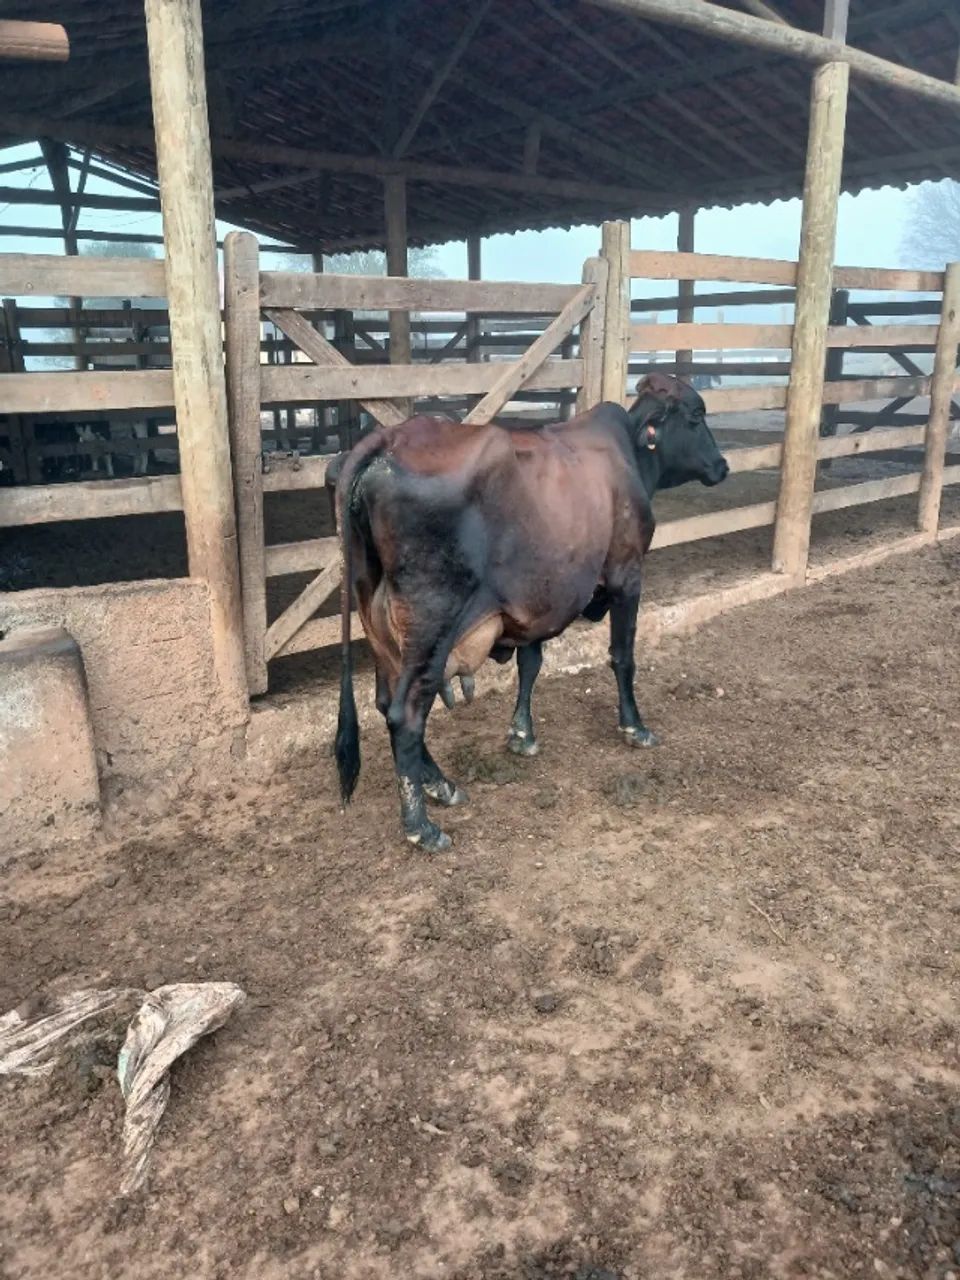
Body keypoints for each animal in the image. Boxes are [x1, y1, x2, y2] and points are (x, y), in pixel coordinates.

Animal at [333, 374, 729, 851]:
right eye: (696, 416)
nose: (722, 466)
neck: (632, 457)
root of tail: (387, 440)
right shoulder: (627, 573)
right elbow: (622, 656)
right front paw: (634, 727)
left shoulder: (540, 597)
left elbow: (531, 663)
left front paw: (522, 734)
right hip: (430, 624)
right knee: (404, 713)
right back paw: (421, 825)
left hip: (377, 623)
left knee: (384, 701)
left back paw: (440, 784)